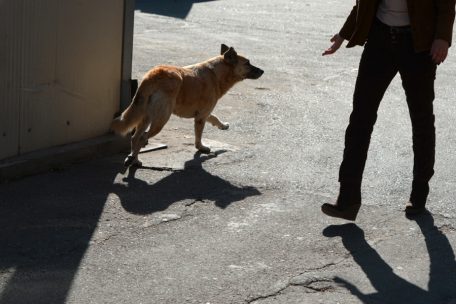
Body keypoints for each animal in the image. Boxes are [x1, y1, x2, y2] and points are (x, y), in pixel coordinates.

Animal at [110, 44, 264, 166]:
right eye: (247, 63)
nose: (263, 71)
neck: (216, 73)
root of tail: (153, 75)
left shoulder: (203, 113)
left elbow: (214, 117)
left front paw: (223, 126)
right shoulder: (201, 117)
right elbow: (199, 136)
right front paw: (201, 148)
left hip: (146, 116)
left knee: (135, 137)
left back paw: (134, 159)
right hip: (161, 119)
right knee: (143, 138)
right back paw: (134, 159)